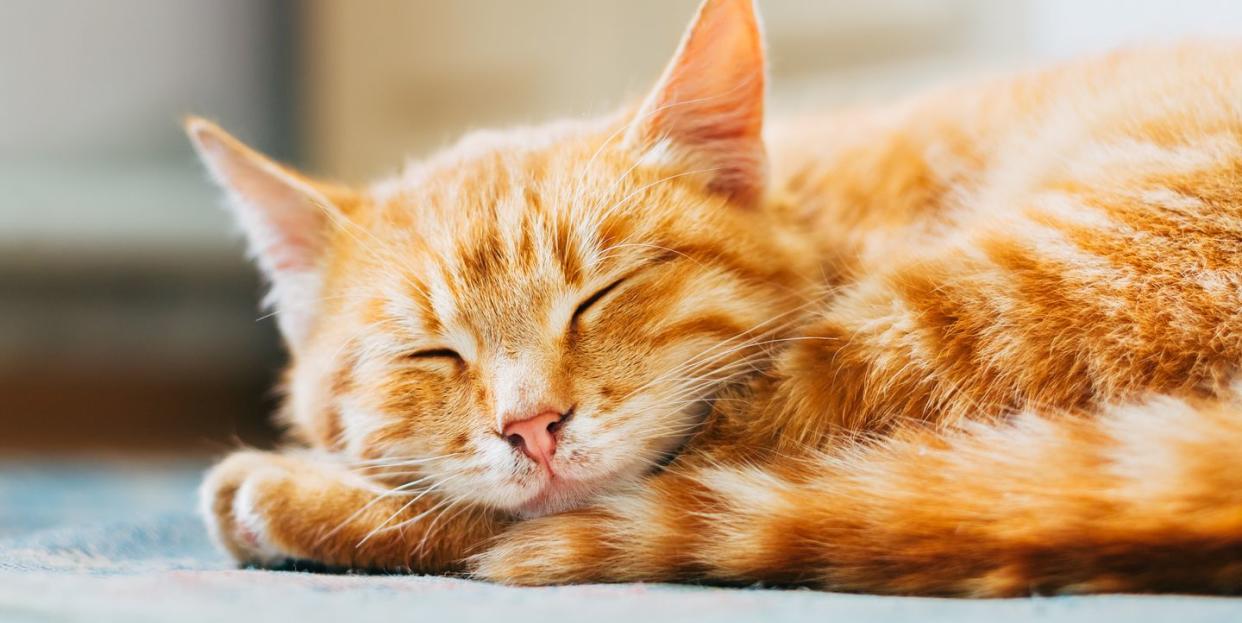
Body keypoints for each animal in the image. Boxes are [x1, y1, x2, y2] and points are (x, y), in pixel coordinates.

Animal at [186, 0, 1242, 593]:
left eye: (602, 294)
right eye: (431, 351)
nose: (531, 426)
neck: (817, 210)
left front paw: (299, 485)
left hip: (947, 320)